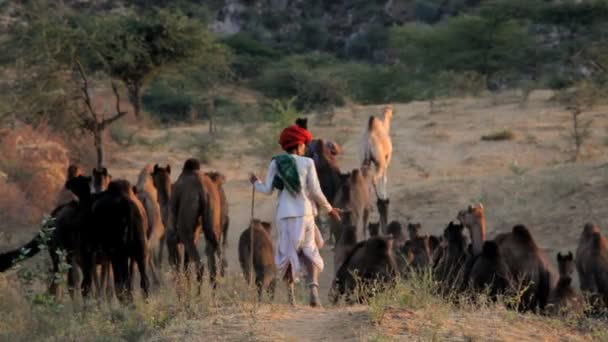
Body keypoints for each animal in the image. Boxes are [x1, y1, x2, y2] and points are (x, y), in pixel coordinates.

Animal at [170, 159, 222, 288]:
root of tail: (202, 192)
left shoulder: (173, 238)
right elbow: (186, 267)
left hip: (185, 233)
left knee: (199, 265)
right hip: (211, 227)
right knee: (213, 267)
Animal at [360, 104, 394, 232]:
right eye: (390, 111)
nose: (392, 114)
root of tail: (368, 143)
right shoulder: (386, 159)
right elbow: (384, 178)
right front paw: (384, 196)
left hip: (363, 160)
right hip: (379, 161)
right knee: (374, 178)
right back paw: (380, 199)